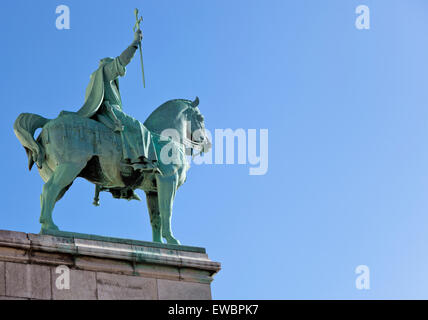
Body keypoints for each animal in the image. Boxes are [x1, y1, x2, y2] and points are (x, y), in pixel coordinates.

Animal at [14, 96, 211, 244]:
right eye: (201, 118)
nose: (206, 144)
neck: (165, 139)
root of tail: (49, 122)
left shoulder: (152, 190)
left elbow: (156, 218)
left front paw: (158, 244)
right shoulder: (168, 180)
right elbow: (167, 210)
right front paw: (172, 240)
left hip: (60, 173)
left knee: (47, 195)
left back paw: (46, 226)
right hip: (70, 168)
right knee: (49, 190)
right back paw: (51, 227)